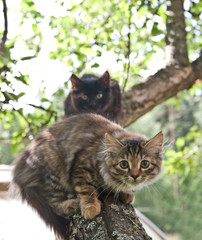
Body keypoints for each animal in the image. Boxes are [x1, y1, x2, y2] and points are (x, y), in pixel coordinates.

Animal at [11, 113, 163, 239]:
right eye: (124, 164)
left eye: (144, 164)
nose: (135, 175)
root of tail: (20, 170)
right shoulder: (81, 165)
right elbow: (86, 190)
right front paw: (90, 208)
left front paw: (123, 194)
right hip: (54, 168)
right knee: (54, 203)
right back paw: (72, 204)